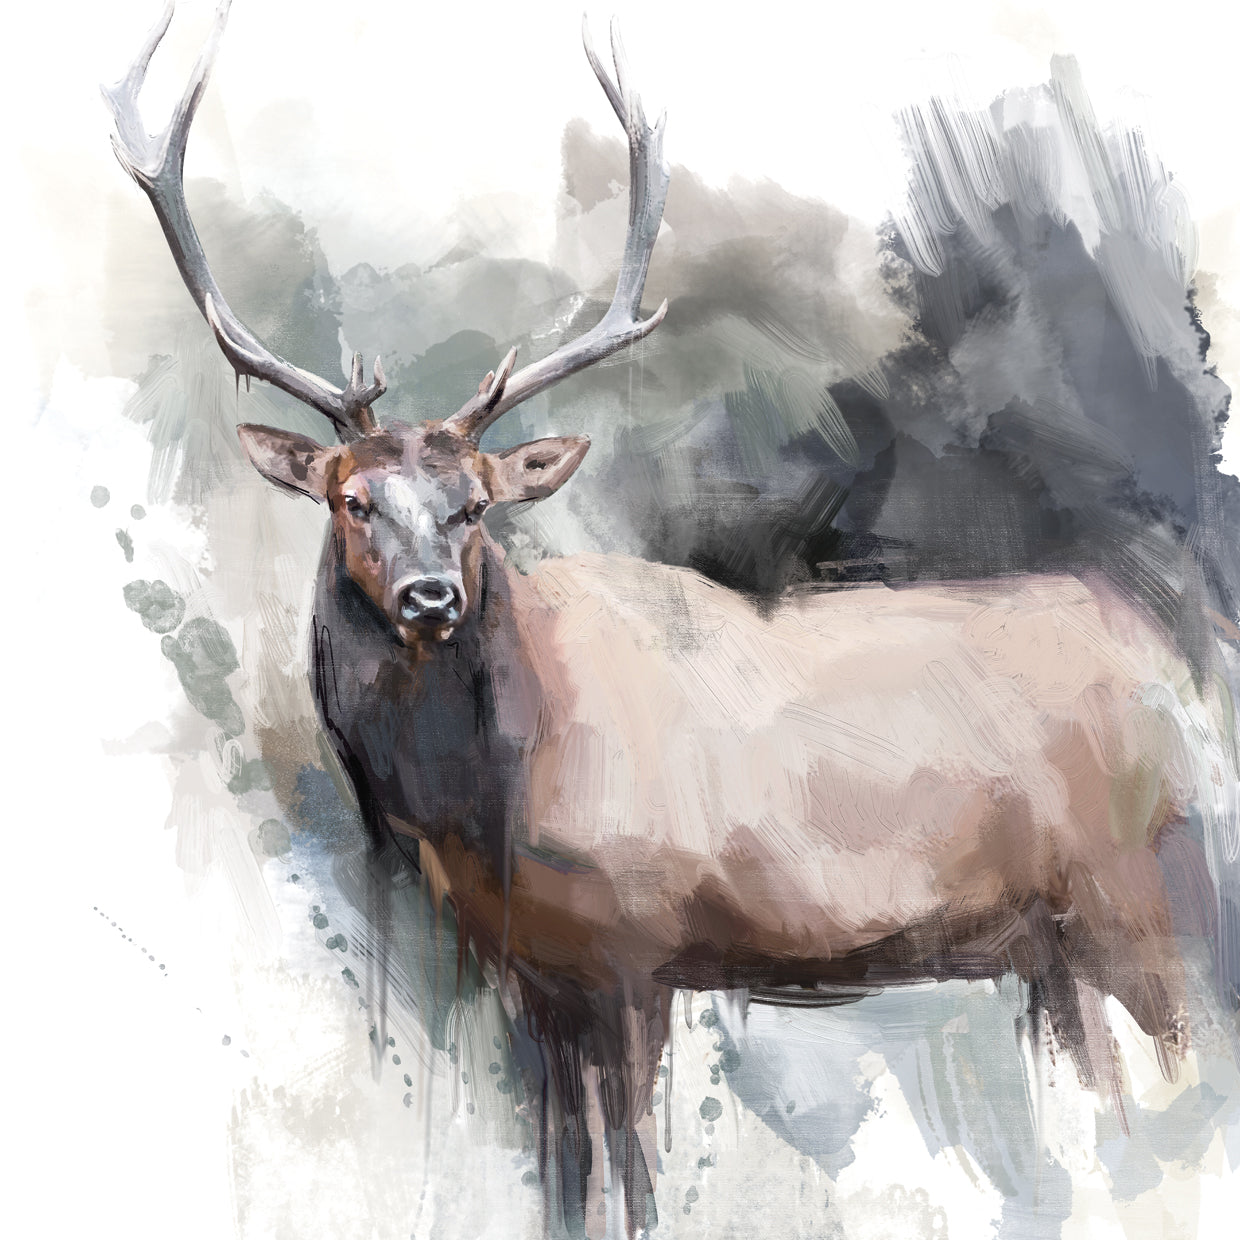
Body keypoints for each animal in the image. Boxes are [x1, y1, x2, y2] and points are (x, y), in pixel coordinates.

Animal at [106, 3, 1236, 1237]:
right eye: (352, 499)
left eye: (473, 505)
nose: (430, 596)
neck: (483, 809)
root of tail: (1169, 669)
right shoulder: (531, 977)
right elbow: (562, 1176)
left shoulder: (634, 948)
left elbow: (633, 1180)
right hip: (1051, 943)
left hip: (1136, 888)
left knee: (1180, 1076)